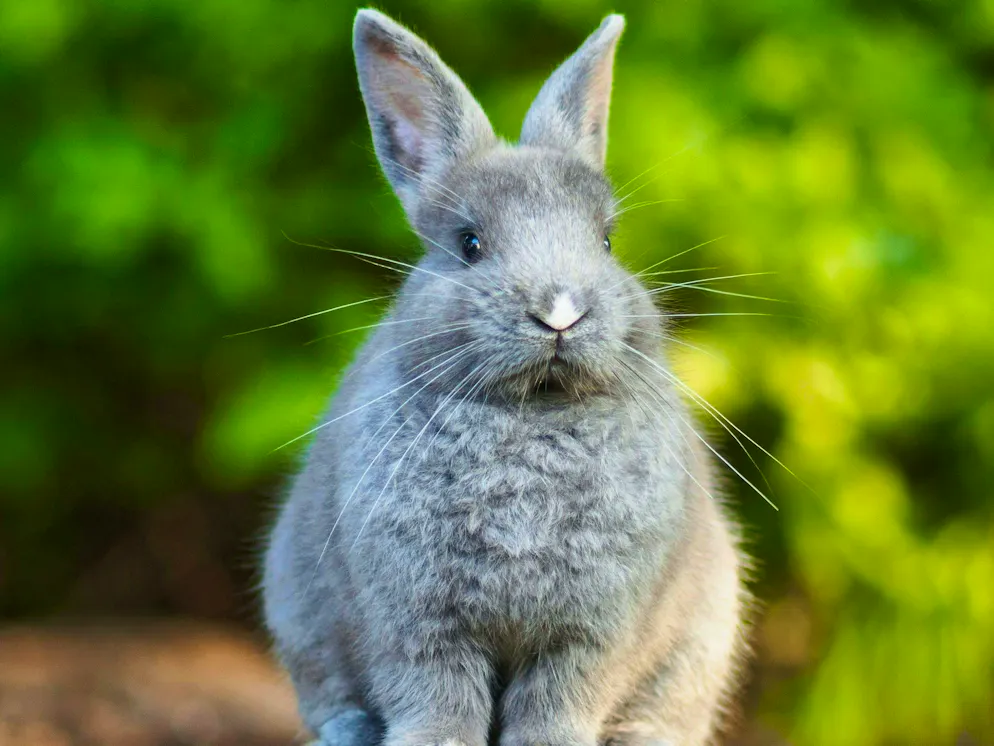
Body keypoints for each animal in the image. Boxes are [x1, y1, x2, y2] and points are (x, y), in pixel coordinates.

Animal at [262, 8, 748, 746]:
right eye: (469, 245)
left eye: (606, 241)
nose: (560, 311)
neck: (533, 414)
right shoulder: (419, 627)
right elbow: (436, 701)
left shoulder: (589, 637)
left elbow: (556, 704)